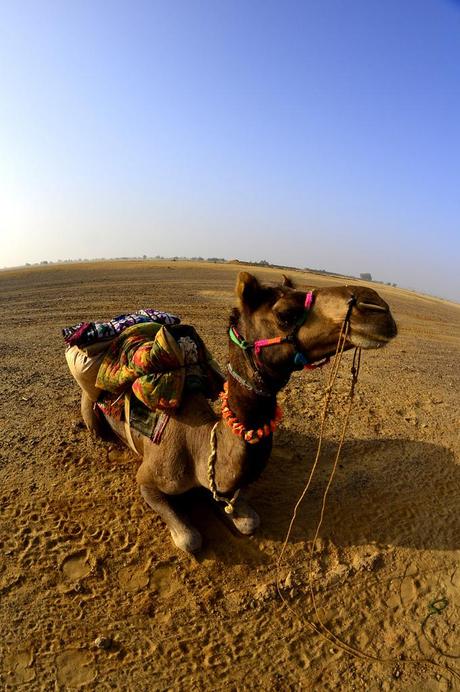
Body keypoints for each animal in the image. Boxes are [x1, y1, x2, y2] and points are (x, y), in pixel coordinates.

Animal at [79, 270, 396, 552]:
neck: (199, 443)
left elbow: (247, 519)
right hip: (89, 406)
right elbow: (189, 539)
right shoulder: (147, 480)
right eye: (285, 314)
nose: (377, 306)